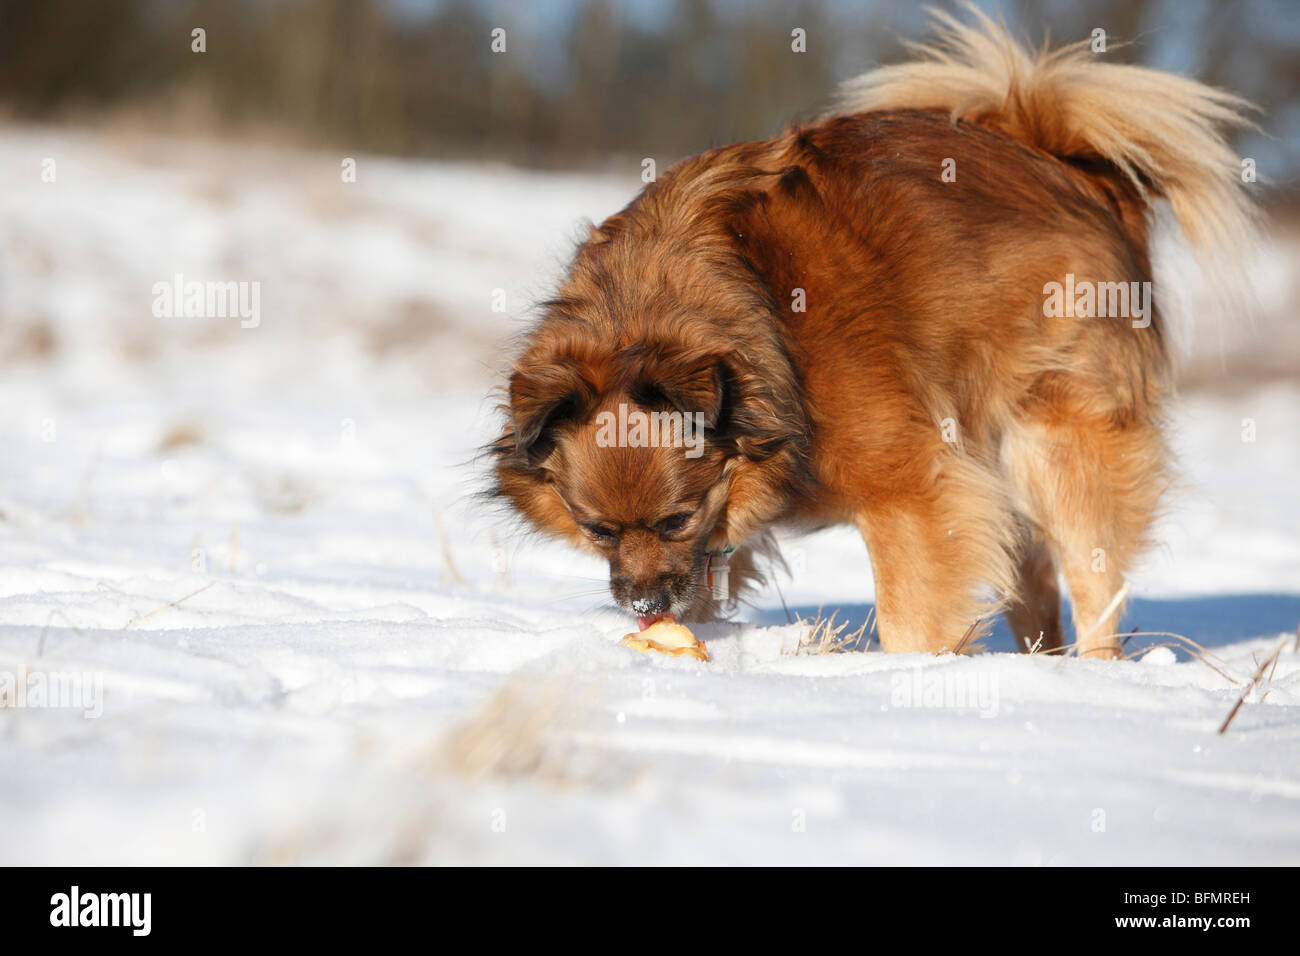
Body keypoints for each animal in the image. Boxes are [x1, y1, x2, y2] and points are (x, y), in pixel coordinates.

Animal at [488, 7, 1258, 658]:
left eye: (675, 518)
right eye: (597, 531)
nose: (646, 605)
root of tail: (1061, 160)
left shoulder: (913, 489)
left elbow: (912, 611)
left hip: (1059, 438)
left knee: (1092, 578)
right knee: (1031, 580)